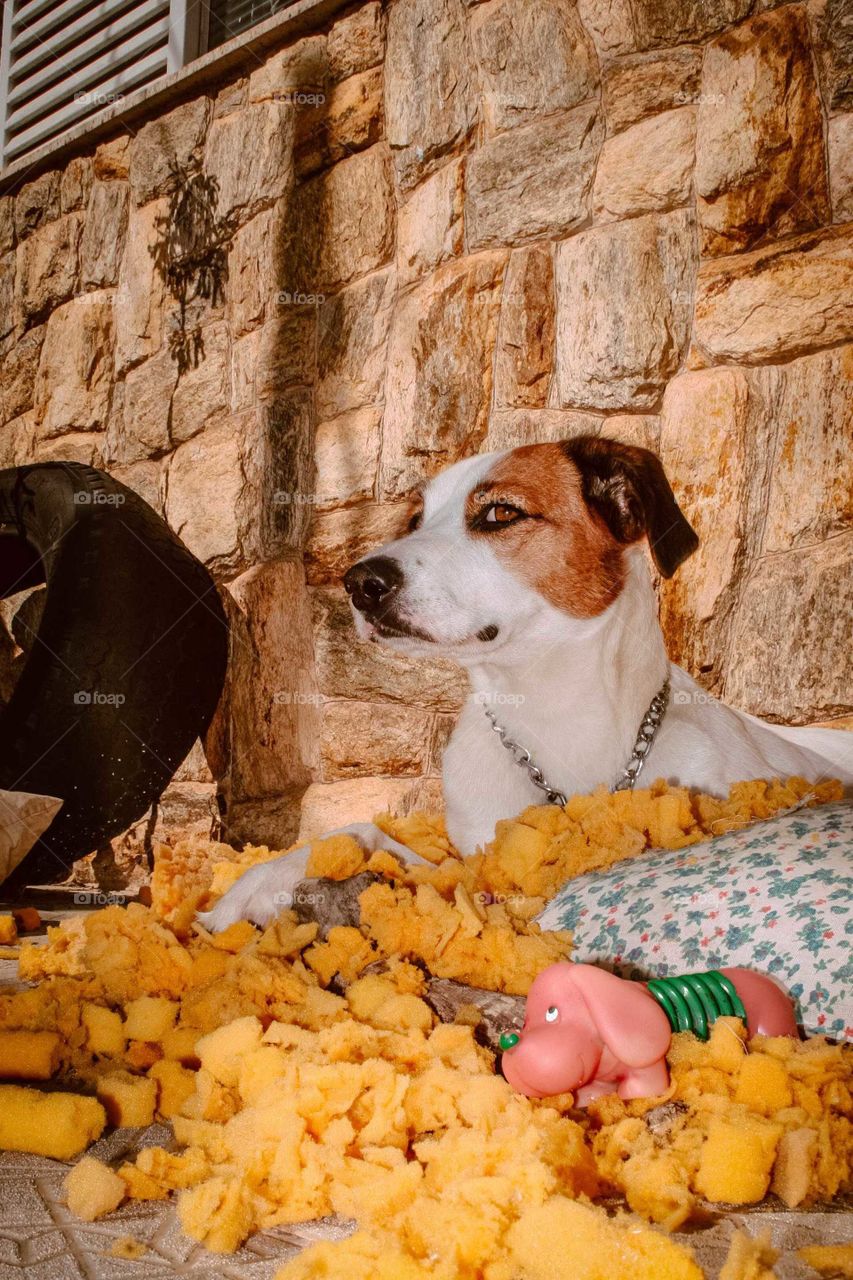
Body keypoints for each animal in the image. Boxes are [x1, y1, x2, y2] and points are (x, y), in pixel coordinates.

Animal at [201, 437, 850, 931]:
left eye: (499, 513)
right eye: (413, 522)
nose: (359, 582)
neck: (549, 710)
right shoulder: (466, 863)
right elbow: (362, 830)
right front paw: (250, 886)